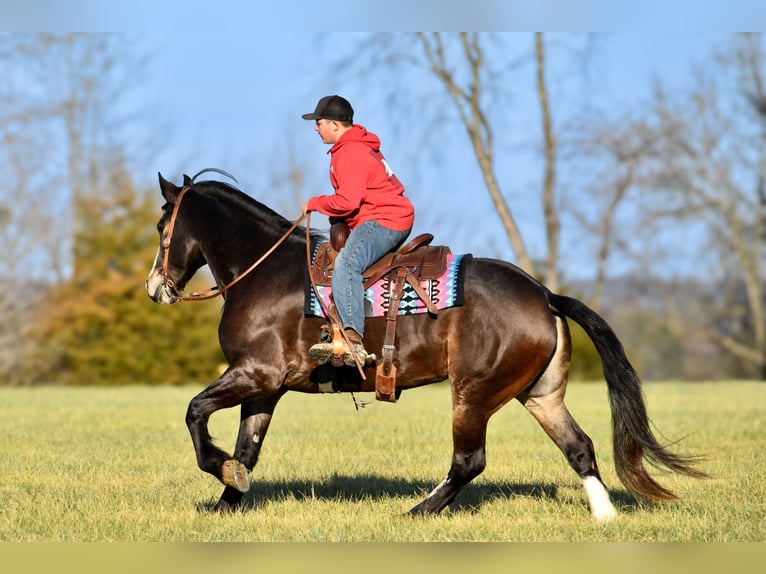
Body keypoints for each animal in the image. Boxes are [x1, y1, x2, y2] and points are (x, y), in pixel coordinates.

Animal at [146, 172, 708, 520]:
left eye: (160, 225)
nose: (155, 287)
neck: (263, 271)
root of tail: (544, 294)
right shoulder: (264, 385)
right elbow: (248, 448)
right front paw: (229, 498)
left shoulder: (254, 373)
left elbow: (195, 413)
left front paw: (221, 472)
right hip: (540, 395)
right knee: (579, 447)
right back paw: (605, 516)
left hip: (474, 394)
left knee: (469, 461)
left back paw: (417, 511)